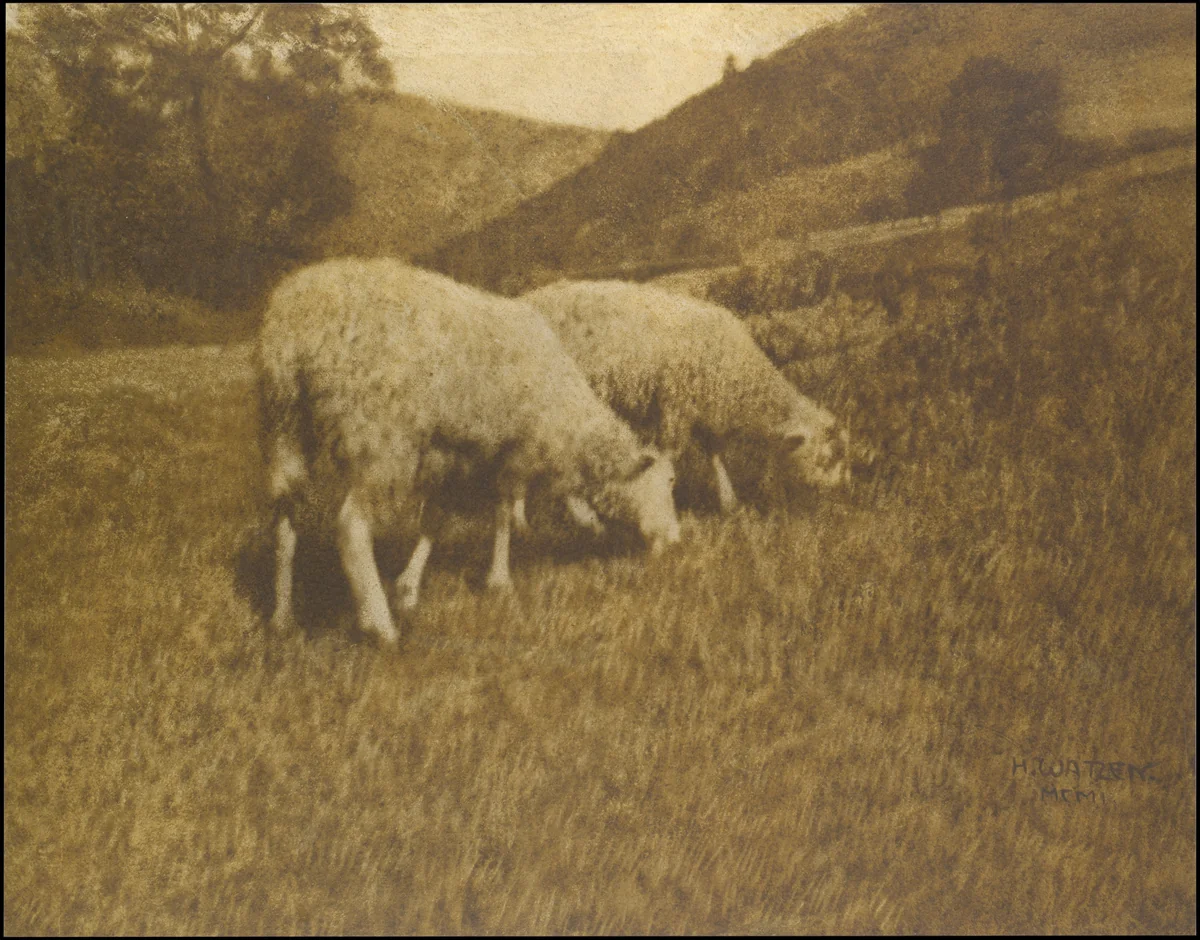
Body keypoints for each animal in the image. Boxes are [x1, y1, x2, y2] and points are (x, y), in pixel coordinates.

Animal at [256, 259, 681, 644]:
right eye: (667, 484)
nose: (676, 539)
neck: (565, 412)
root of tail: (300, 323)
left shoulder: (450, 457)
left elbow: (435, 522)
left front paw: (409, 588)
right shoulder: (510, 452)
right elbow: (503, 514)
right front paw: (499, 579)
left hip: (284, 428)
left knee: (284, 521)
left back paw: (282, 616)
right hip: (381, 439)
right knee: (351, 528)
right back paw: (379, 625)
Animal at [521, 279, 851, 514]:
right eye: (826, 458)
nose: (842, 495)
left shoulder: (703, 408)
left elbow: (715, 453)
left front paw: (728, 502)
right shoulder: (673, 407)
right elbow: (670, 455)